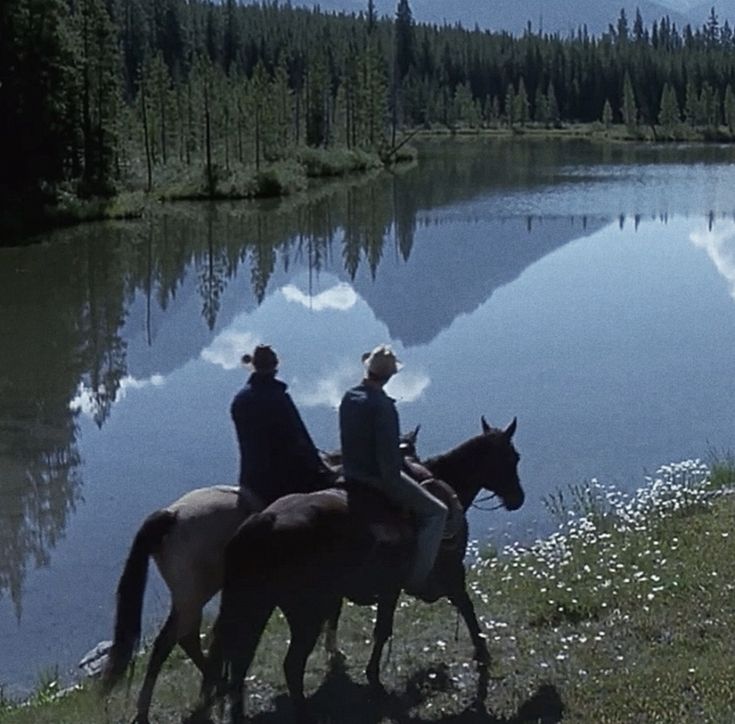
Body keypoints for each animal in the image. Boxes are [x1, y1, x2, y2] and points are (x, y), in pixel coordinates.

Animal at [201, 416, 524, 724]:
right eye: (512, 457)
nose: (518, 498)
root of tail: (263, 522)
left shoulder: (389, 590)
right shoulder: (443, 575)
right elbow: (458, 609)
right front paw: (481, 654)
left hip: (257, 607)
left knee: (241, 661)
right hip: (305, 614)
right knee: (290, 664)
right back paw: (304, 714)